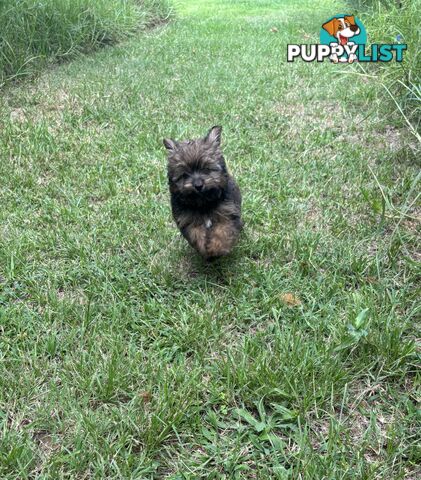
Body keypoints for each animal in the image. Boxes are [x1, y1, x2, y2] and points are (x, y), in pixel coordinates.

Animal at [164, 126, 243, 258]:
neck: (204, 203)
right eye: (184, 174)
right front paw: (204, 250)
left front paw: (216, 249)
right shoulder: (188, 220)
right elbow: (196, 234)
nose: (198, 185)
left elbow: (222, 231)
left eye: (206, 168)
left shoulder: (227, 214)